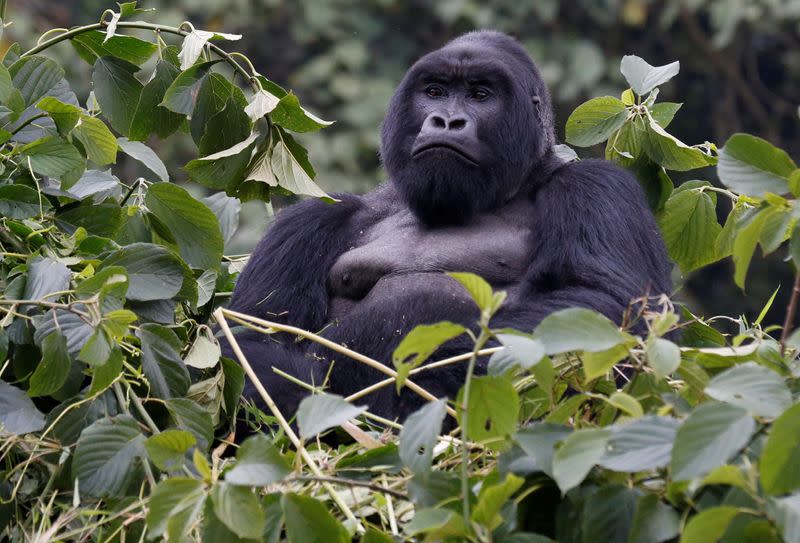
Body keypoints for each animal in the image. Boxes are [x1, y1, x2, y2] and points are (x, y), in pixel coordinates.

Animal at [222, 28, 672, 420]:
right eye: (434, 92)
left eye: (480, 95)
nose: (446, 121)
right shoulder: (311, 220)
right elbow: (249, 336)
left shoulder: (597, 188)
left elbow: (606, 308)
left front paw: (364, 363)